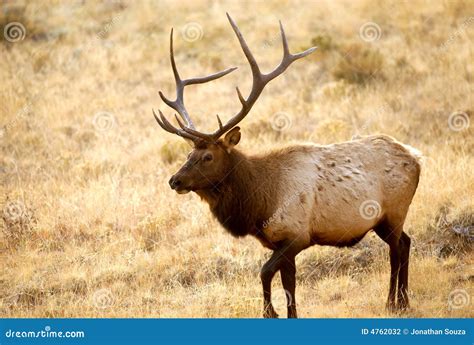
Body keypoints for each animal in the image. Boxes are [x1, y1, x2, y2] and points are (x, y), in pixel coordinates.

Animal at [154, 14, 420, 318]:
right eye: (189, 153)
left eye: (208, 156)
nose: (174, 180)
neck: (259, 203)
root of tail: (417, 158)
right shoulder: (282, 242)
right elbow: (289, 284)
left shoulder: (296, 236)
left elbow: (265, 273)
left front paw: (270, 312)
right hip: (384, 220)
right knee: (406, 242)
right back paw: (402, 301)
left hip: (394, 212)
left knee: (397, 249)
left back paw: (394, 303)